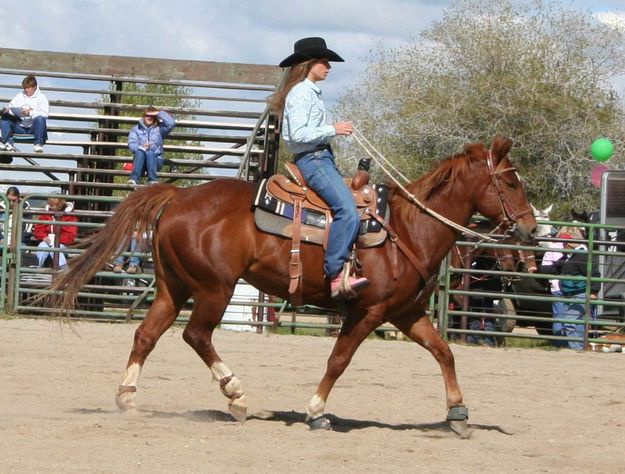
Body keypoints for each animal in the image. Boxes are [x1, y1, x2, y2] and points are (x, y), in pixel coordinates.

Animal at [50, 134, 536, 436]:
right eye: (511, 181)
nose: (531, 231)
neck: (408, 229)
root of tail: (179, 195)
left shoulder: (405, 312)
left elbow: (444, 352)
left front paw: (458, 414)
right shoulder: (368, 311)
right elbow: (339, 360)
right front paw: (316, 411)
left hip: (175, 287)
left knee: (147, 335)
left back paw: (128, 399)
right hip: (214, 288)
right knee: (196, 335)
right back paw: (237, 396)